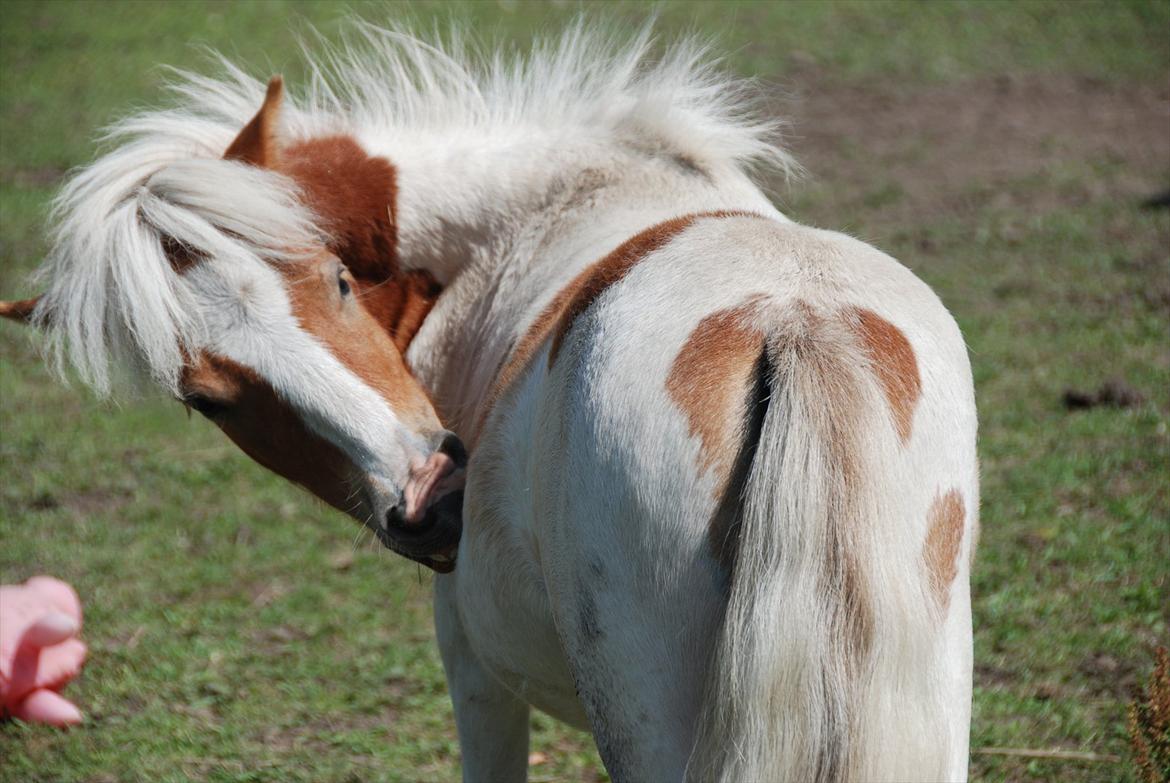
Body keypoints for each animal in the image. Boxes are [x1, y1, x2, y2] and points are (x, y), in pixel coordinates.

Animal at [2, 22, 978, 781]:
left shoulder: (474, 669)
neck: (531, 218)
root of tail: (793, 322)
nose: (431, 502)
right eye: (209, 400)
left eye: (338, 280)